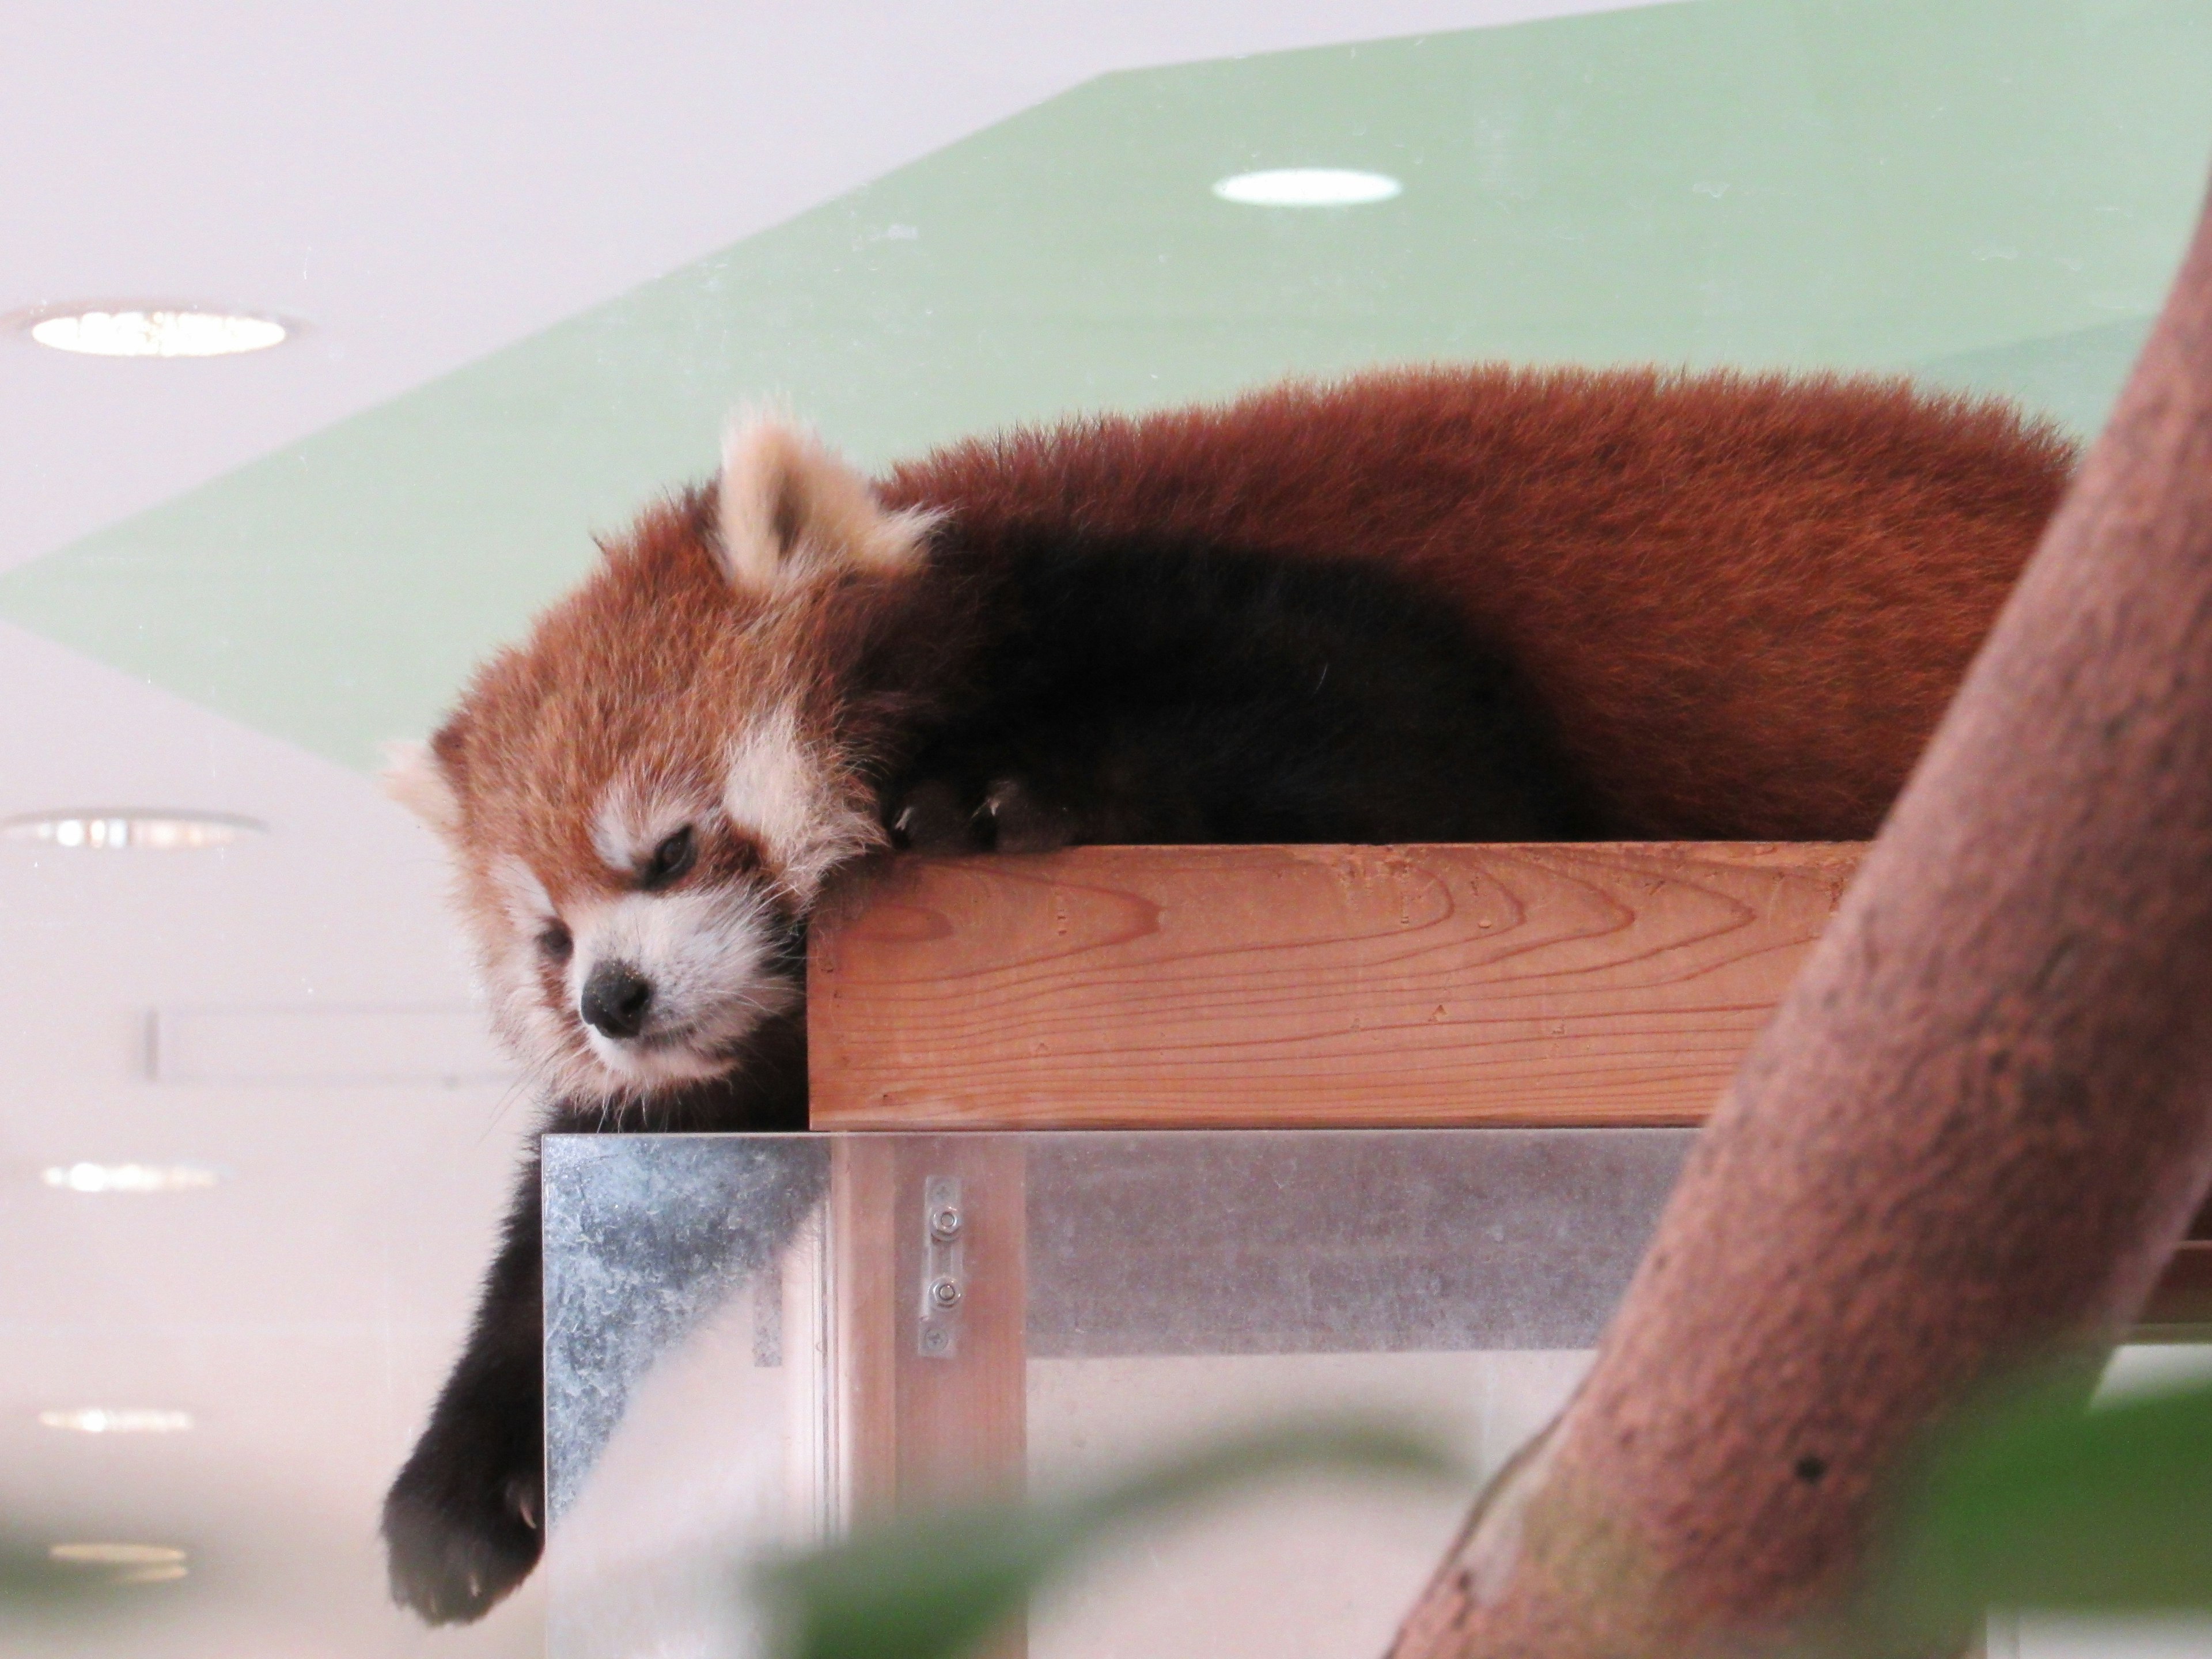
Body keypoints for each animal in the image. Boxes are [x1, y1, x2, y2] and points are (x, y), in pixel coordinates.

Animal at [376, 362, 2070, 1628]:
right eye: (549, 938)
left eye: (666, 846)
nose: (615, 997)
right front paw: (461, 1489)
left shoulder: (1263, 620)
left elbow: (1418, 756)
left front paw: (1002, 794)